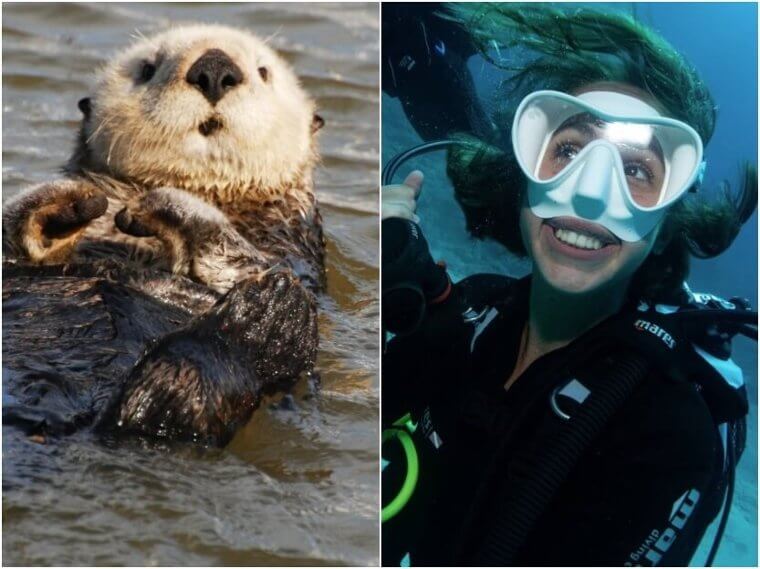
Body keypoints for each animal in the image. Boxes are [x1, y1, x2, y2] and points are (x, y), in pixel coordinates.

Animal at [2, 25, 326, 447]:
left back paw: (260, 312)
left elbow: (239, 259)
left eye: (263, 72)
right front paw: (74, 202)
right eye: (147, 69)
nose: (214, 69)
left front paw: (159, 203)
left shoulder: (290, 245)